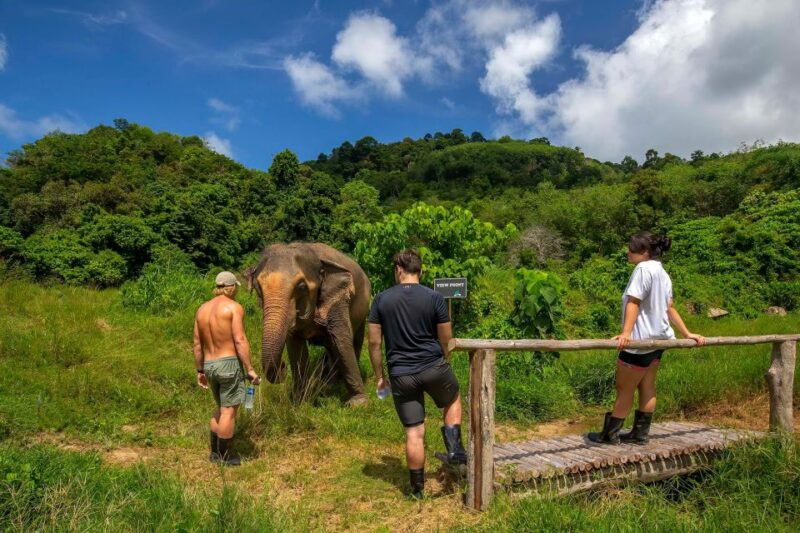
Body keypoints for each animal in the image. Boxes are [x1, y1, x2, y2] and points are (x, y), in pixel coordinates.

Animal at [245, 242, 371, 406]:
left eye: (301, 287)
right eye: (258, 287)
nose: (283, 367)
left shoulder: (338, 300)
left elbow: (341, 340)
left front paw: (358, 403)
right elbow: (296, 347)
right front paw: (299, 401)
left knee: (353, 341)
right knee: (330, 347)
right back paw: (328, 384)